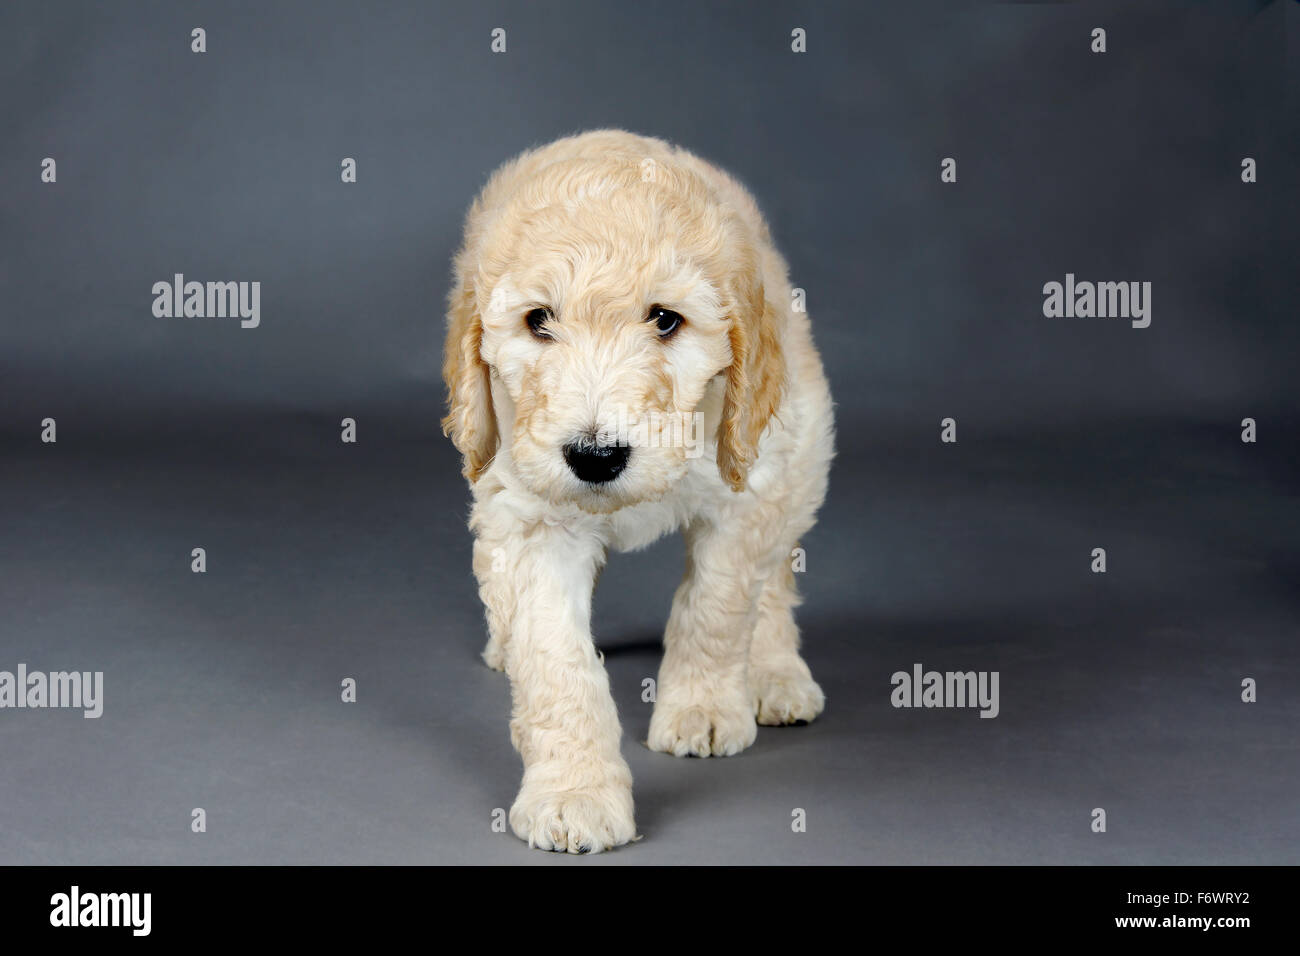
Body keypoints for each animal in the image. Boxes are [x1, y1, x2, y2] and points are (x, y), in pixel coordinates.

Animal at [444, 130, 832, 858]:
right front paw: (574, 792)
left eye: (665, 320)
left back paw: (774, 674)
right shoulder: (527, 515)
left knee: (774, 577)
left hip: (797, 444)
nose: (595, 456)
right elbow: (556, 659)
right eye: (539, 321)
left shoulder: (745, 492)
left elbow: (718, 607)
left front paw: (704, 707)